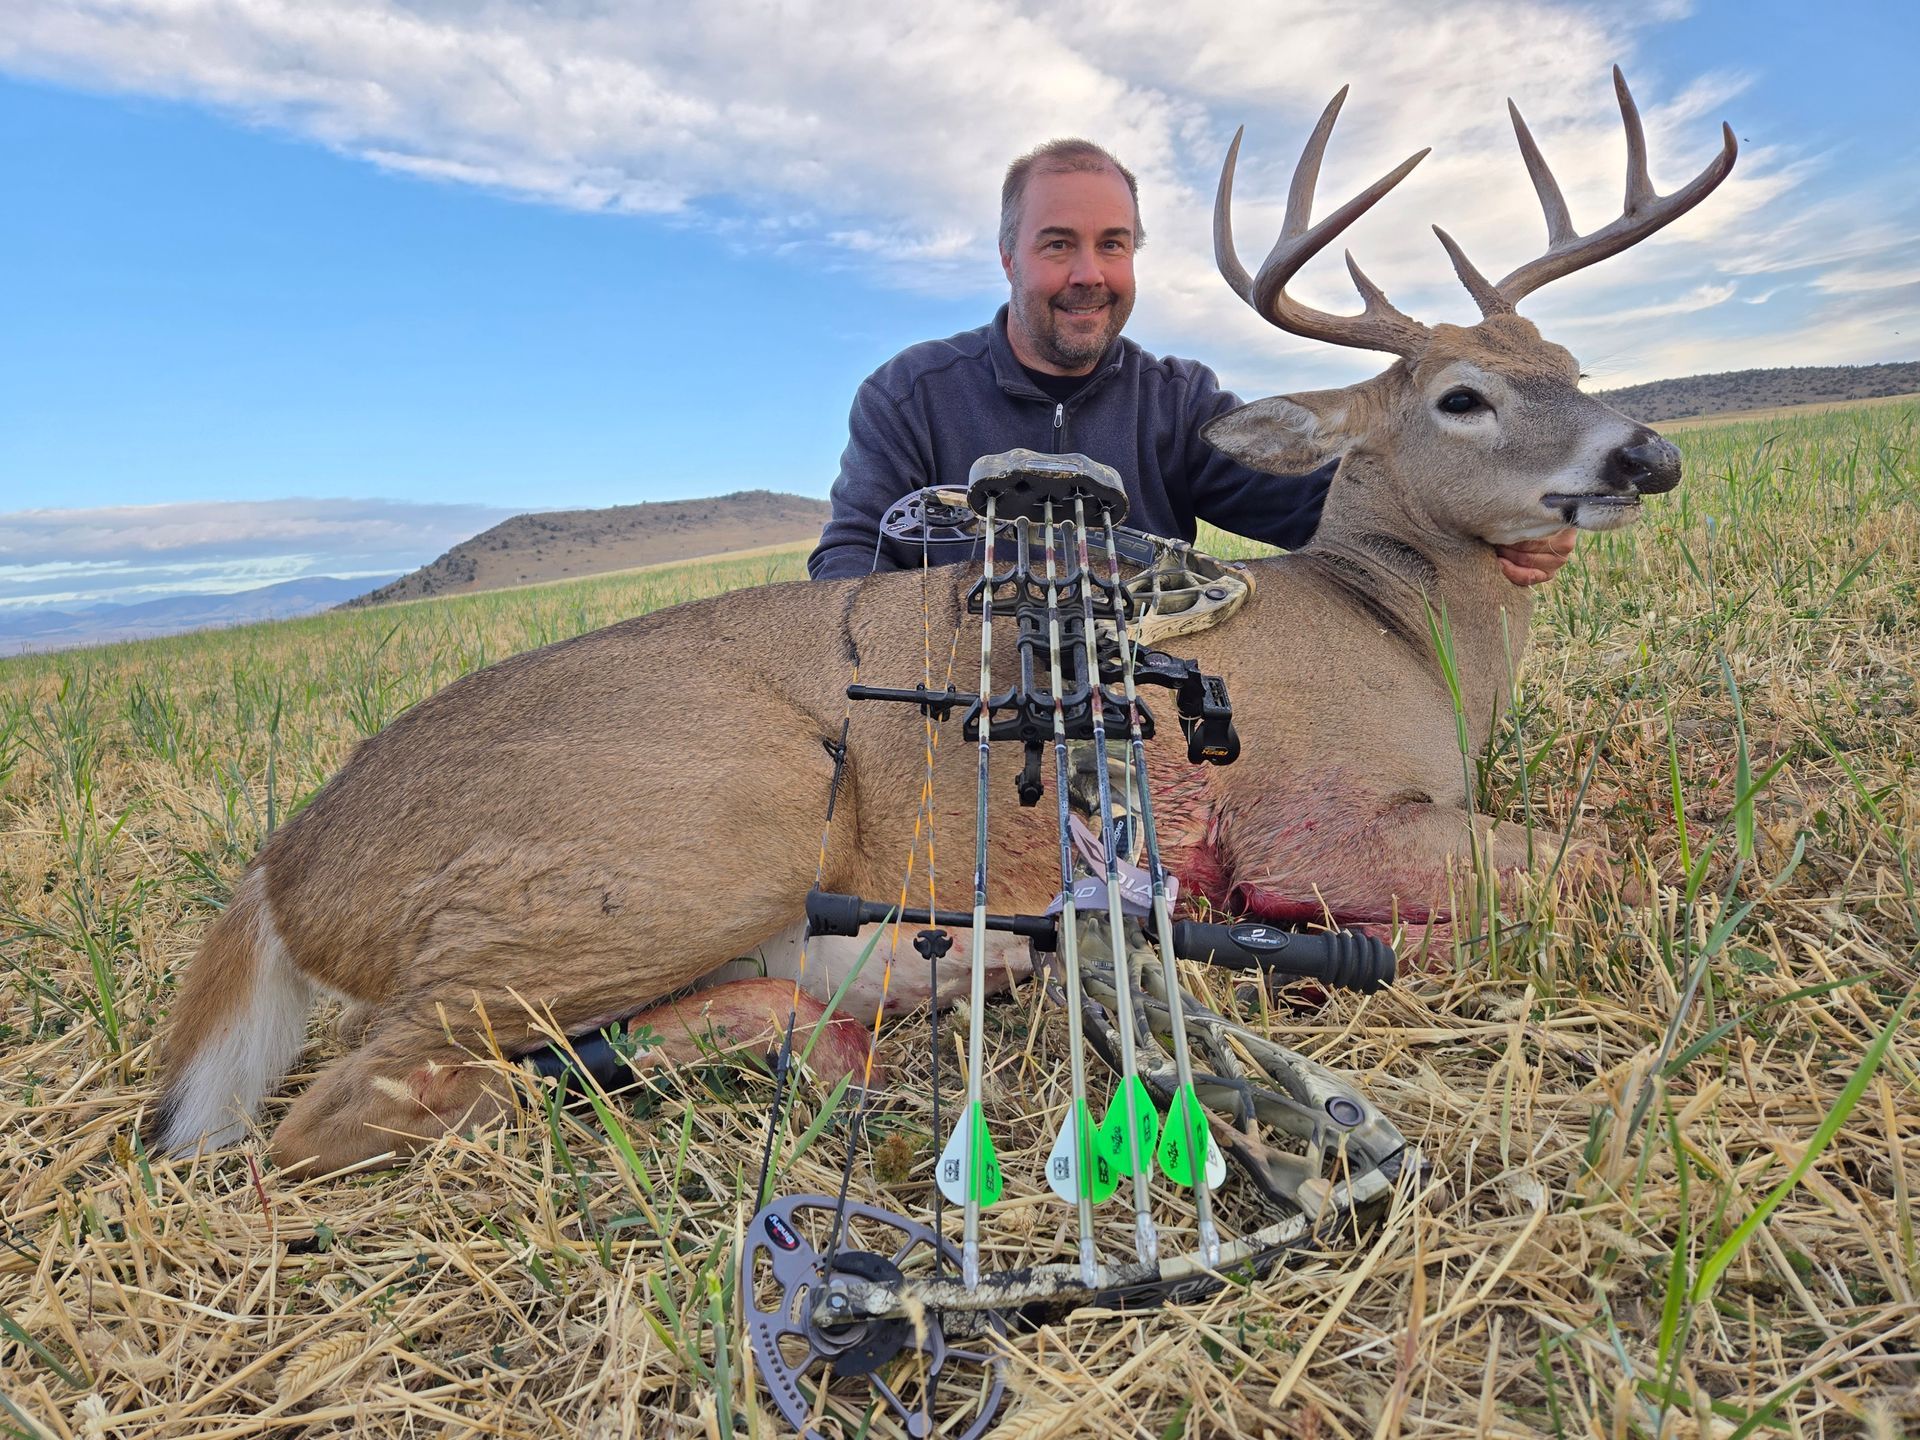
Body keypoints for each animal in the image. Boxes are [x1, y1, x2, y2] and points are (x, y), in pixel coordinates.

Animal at [150, 70, 1734, 1175]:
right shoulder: (1311, 819)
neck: (1401, 625)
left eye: (1567, 357)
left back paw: (858, 1018)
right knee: (337, 1115)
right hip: (695, 832)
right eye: (1461, 394)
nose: (1646, 455)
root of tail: (285, 867)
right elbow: (1612, 869)